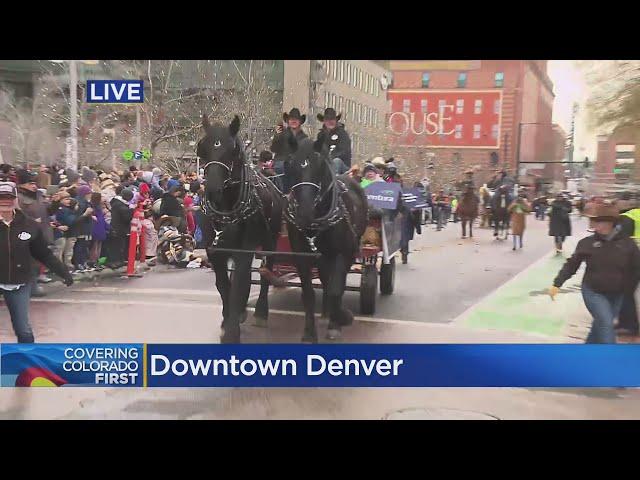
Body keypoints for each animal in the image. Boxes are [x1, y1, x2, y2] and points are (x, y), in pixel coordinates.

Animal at [196, 115, 284, 342]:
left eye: (233, 150)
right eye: (203, 148)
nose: (213, 189)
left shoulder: (244, 250)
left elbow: (239, 285)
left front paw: (231, 332)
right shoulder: (215, 251)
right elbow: (224, 285)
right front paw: (227, 321)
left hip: (270, 240)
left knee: (265, 272)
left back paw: (261, 311)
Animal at [284, 137, 368, 344]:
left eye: (320, 165)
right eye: (291, 164)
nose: (305, 212)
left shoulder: (341, 253)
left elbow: (336, 289)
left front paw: (338, 322)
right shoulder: (302, 256)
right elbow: (308, 294)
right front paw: (309, 333)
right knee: (325, 278)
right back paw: (326, 312)